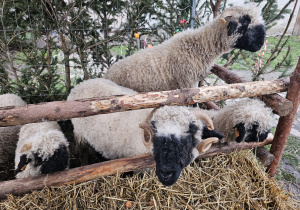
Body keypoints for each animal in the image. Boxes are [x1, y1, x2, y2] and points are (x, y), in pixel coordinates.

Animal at [67, 78, 274, 185]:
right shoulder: (142, 168)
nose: (267, 137)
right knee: (82, 152)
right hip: (80, 134)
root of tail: (81, 84)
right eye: (255, 126)